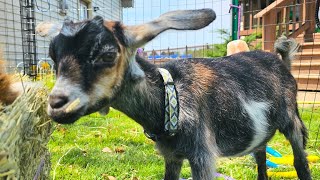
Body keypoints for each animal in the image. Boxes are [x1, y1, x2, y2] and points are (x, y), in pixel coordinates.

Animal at [36, 9, 312, 180]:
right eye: (53, 57)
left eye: (108, 55)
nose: (57, 104)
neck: (173, 97)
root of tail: (282, 61)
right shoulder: (172, 156)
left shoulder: (203, 155)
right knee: (261, 156)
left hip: (291, 119)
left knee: (300, 161)